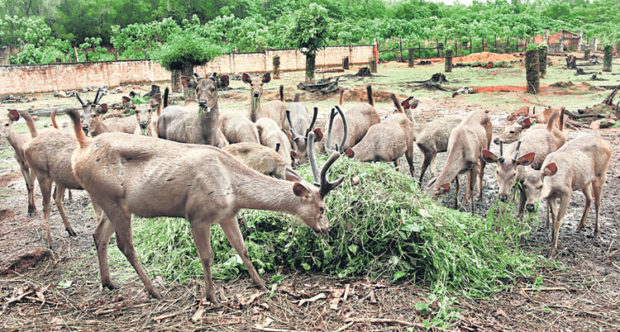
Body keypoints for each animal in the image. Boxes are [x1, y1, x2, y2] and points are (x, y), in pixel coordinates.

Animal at [66, 108, 346, 300]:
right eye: (323, 208)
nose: (327, 229)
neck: (232, 186)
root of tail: (81, 147)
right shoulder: (197, 215)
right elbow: (207, 256)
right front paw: (211, 296)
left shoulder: (228, 214)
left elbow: (242, 249)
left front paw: (261, 284)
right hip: (112, 200)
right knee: (125, 246)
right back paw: (154, 290)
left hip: (109, 202)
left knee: (98, 235)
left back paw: (108, 282)